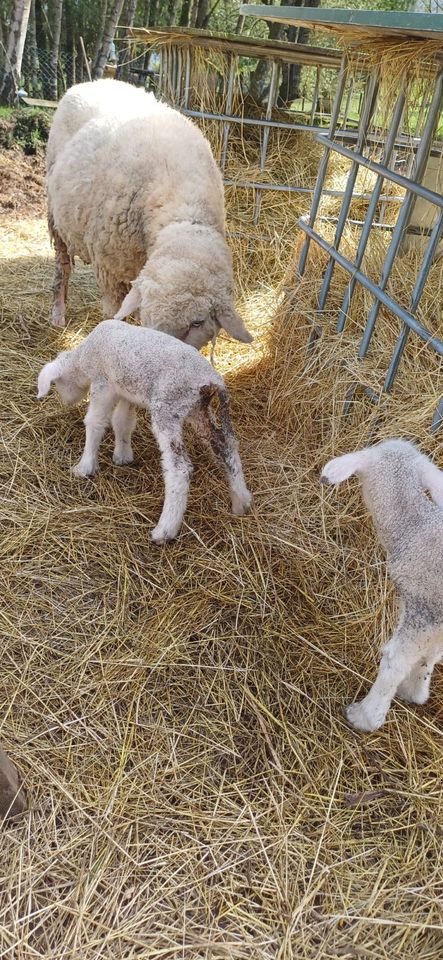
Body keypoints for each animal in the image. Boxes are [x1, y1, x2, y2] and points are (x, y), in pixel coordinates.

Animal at [37, 318, 253, 544]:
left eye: (57, 384)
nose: (66, 402)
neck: (82, 356)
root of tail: (212, 379)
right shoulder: (126, 392)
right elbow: (122, 422)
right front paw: (122, 456)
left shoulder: (102, 383)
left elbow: (95, 422)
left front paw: (84, 466)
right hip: (198, 409)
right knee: (225, 446)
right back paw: (241, 501)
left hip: (168, 408)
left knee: (180, 468)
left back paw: (165, 530)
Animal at [46, 79, 253, 348]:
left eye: (197, 322)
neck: (184, 213)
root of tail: (93, 81)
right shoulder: (109, 270)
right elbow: (114, 313)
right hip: (55, 215)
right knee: (62, 266)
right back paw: (58, 313)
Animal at [320, 438, 443, 732]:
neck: (414, 528)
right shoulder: (434, 621)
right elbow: (430, 657)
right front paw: (416, 691)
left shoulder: (424, 610)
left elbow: (394, 662)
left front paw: (366, 716)